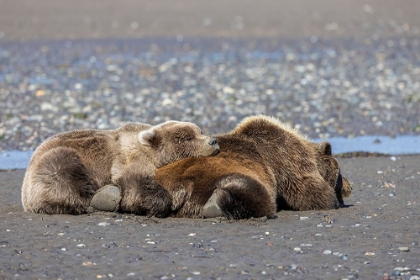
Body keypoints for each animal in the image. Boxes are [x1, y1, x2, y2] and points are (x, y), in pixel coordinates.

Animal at [21, 121, 220, 217]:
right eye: (187, 137)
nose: (213, 141)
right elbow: (135, 183)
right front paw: (158, 205)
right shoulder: (128, 159)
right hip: (56, 161)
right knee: (62, 170)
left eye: (200, 131)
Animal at [154, 115, 352, 220]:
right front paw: (330, 200)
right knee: (257, 195)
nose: (350, 186)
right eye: (340, 174)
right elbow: (309, 191)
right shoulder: (287, 157)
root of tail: (180, 188)